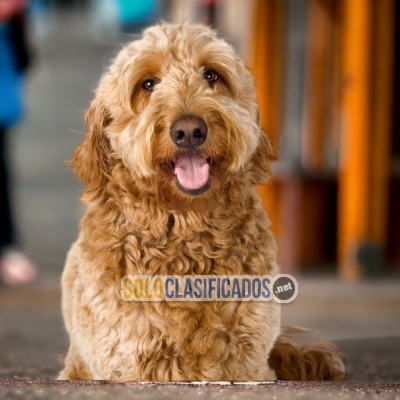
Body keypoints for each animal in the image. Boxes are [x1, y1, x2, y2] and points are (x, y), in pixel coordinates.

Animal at [58, 22, 344, 382]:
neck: (184, 228)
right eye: (147, 84)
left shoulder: (249, 361)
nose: (190, 130)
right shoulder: (126, 358)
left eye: (211, 75)